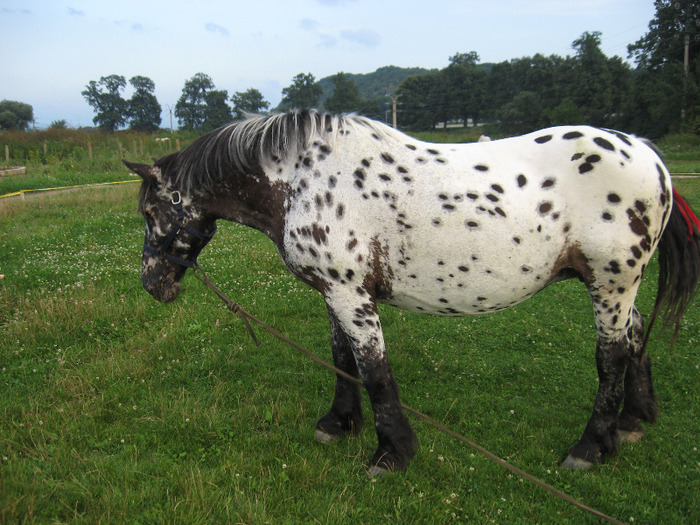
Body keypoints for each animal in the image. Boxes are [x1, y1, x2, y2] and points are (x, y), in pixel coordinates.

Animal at [126, 110, 700, 474]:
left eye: (152, 211)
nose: (153, 285)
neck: (300, 182)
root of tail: (647, 153)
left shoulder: (350, 294)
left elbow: (374, 370)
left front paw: (391, 454)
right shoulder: (336, 292)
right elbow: (343, 359)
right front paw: (339, 423)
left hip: (611, 283)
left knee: (611, 358)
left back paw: (590, 448)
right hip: (619, 287)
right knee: (635, 338)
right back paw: (633, 420)